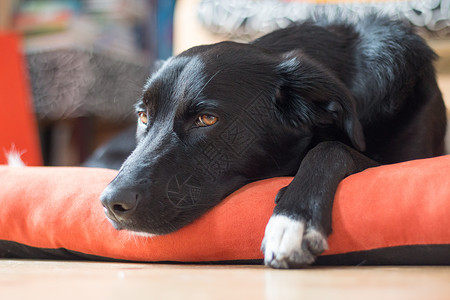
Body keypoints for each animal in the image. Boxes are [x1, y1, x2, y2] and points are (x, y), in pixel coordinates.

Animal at [98, 14, 446, 268]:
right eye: (144, 116)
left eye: (207, 119)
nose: (111, 203)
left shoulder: (406, 160)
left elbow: (331, 148)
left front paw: (292, 218)